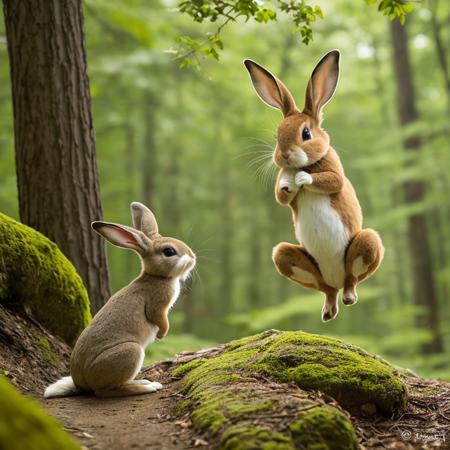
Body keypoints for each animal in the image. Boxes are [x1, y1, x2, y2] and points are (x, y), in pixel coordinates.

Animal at [44, 201, 197, 398]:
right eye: (169, 251)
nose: (193, 257)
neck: (157, 276)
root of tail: (82, 383)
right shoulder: (158, 306)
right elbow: (159, 318)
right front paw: (162, 335)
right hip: (131, 352)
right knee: (106, 391)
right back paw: (148, 386)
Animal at [244, 51, 384, 322]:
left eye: (306, 133)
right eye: (277, 135)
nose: (284, 155)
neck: (306, 163)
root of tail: (336, 279)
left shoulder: (334, 171)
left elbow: (331, 181)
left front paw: (300, 179)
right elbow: (280, 197)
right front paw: (288, 184)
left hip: (368, 243)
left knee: (351, 281)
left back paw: (348, 296)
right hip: (286, 257)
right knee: (326, 290)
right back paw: (329, 311)